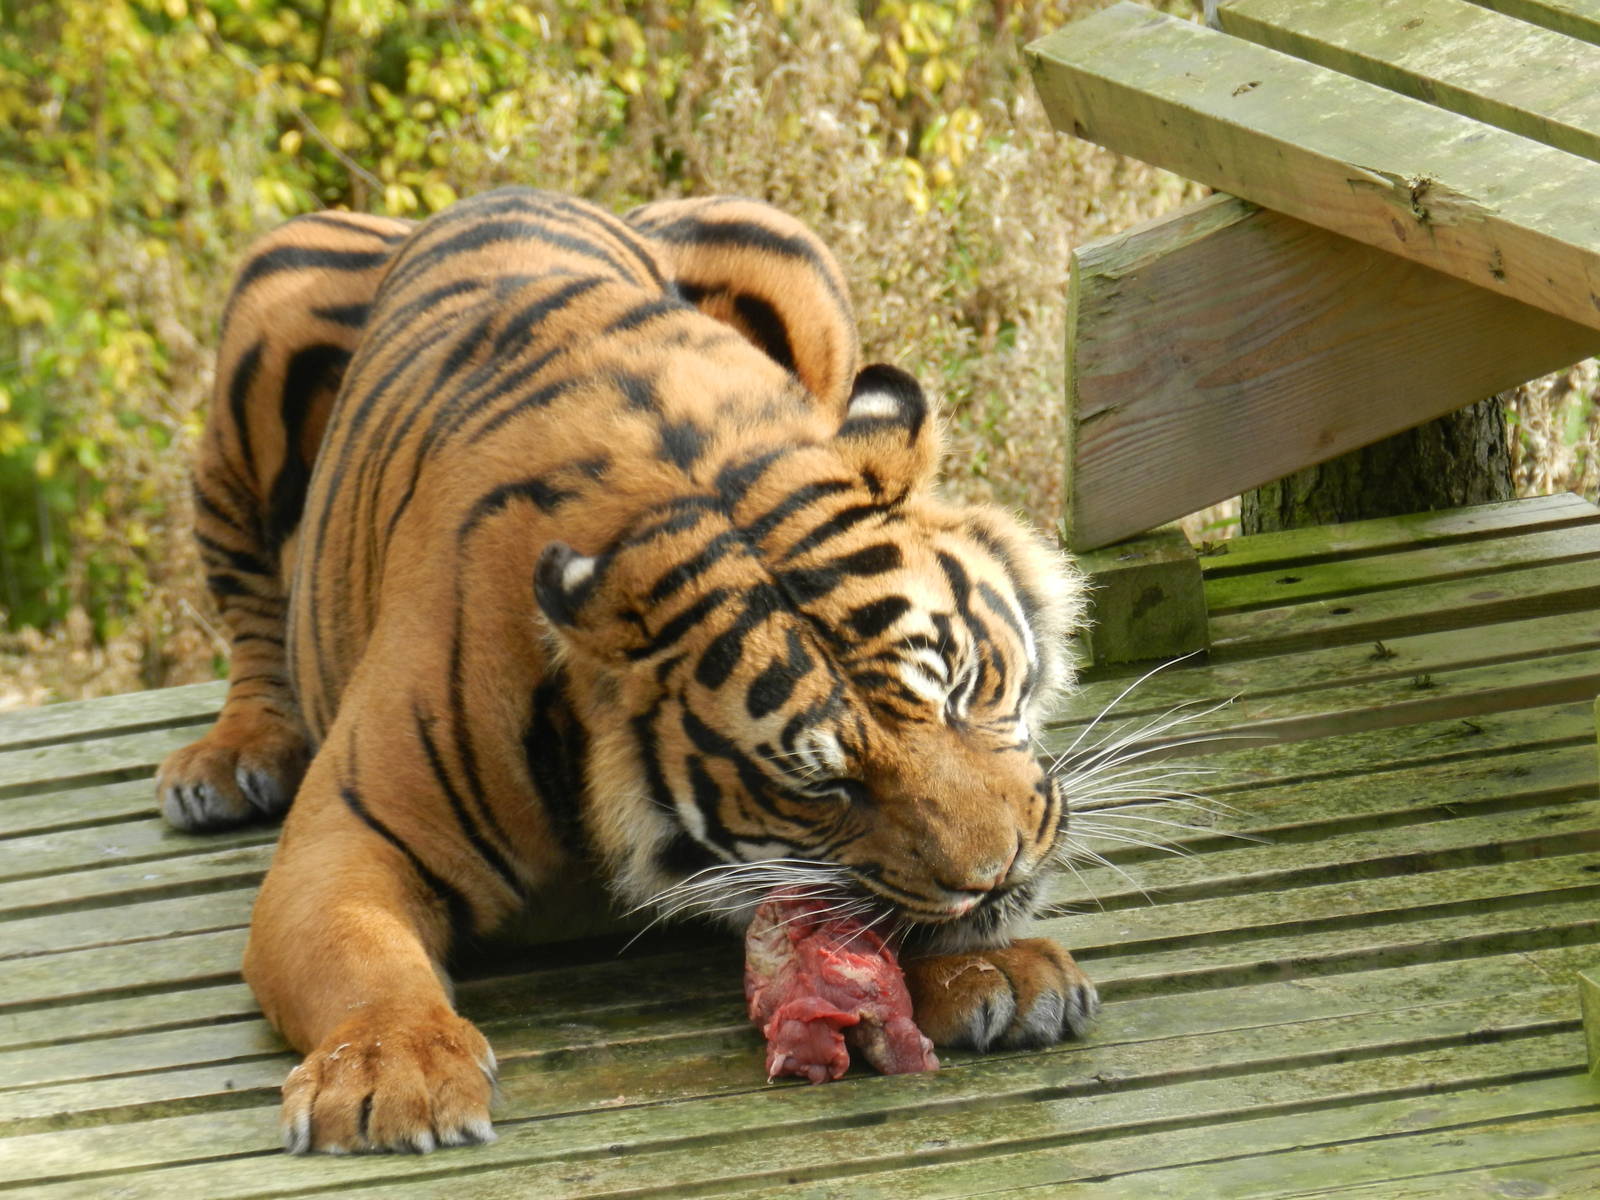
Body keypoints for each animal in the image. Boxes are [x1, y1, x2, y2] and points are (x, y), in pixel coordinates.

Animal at [157, 186, 1097, 1155]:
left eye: (960, 687)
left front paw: (990, 969)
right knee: (249, 613)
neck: (678, 476)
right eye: (822, 787)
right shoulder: (347, 835)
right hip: (263, 319)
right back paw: (228, 764)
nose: (1000, 872)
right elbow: (361, 955)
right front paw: (391, 1070)